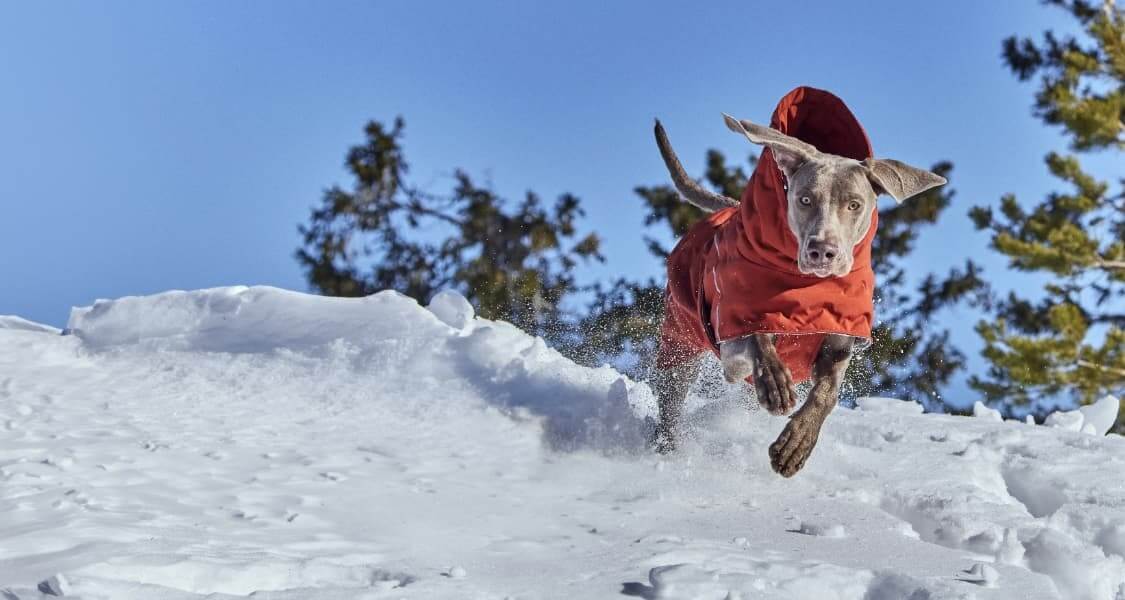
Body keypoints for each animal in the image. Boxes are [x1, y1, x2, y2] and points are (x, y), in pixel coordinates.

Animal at [648, 85, 945, 477]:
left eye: (854, 205)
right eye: (804, 199)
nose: (823, 250)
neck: (808, 287)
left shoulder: (840, 340)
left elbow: (825, 395)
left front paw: (796, 445)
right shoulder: (731, 331)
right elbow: (757, 336)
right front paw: (775, 383)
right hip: (679, 341)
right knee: (672, 400)